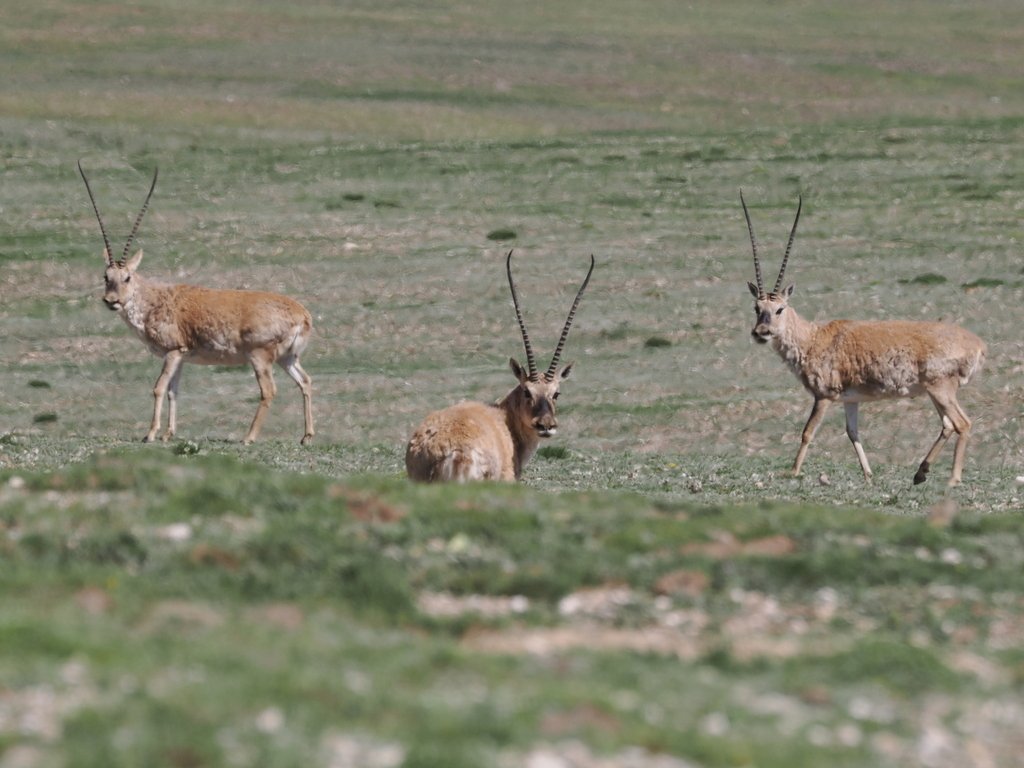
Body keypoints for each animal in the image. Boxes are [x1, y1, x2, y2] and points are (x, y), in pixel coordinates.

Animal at [79, 162, 315, 445]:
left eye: (127, 277)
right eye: (106, 277)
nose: (111, 301)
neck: (154, 300)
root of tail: (302, 315)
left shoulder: (172, 352)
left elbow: (159, 388)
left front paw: (151, 434)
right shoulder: (181, 356)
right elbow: (174, 391)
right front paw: (168, 434)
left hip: (260, 357)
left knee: (269, 390)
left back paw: (248, 437)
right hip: (288, 358)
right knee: (305, 381)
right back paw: (306, 437)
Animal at [742, 193, 986, 486]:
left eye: (779, 309)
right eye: (757, 307)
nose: (761, 332)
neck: (814, 338)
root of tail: (977, 344)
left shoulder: (824, 397)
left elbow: (808, 432)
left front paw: (793, 471)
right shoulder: (851, 400)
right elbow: (852, 432)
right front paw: (868, 474)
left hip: (941, 389)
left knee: (962, 423)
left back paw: (952, 479)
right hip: (935, 392)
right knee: (948, 425)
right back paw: (920, 473)